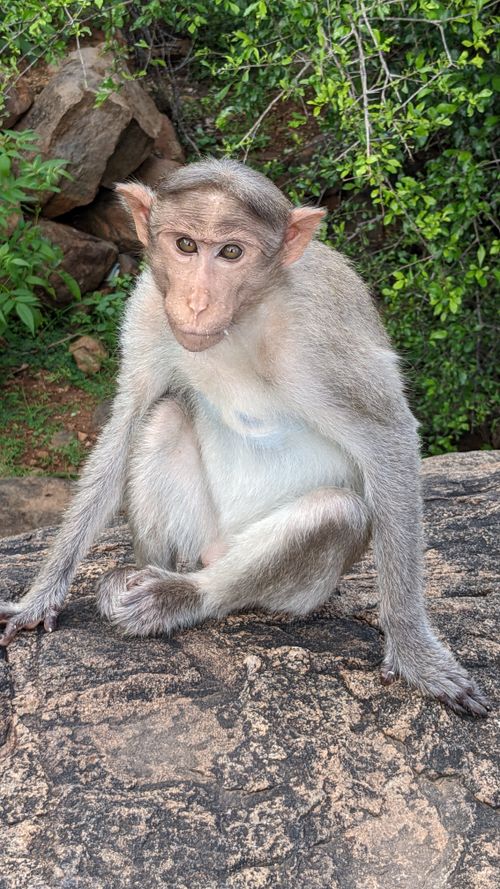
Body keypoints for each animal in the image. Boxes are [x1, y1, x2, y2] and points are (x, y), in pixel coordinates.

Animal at [0, 159, 490, 718]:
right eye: (185, 245)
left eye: (231, 252)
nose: (195, 302)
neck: (242, 319)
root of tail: (217, 552)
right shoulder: (148, 308)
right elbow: (128, 420)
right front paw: (40, 595)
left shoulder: (320, 335)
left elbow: (389, 435)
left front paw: (412, 649)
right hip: (201, 532)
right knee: (164, 415)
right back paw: (147, 573)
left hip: (301, 590)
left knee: (336, 514)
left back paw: (180, 597)